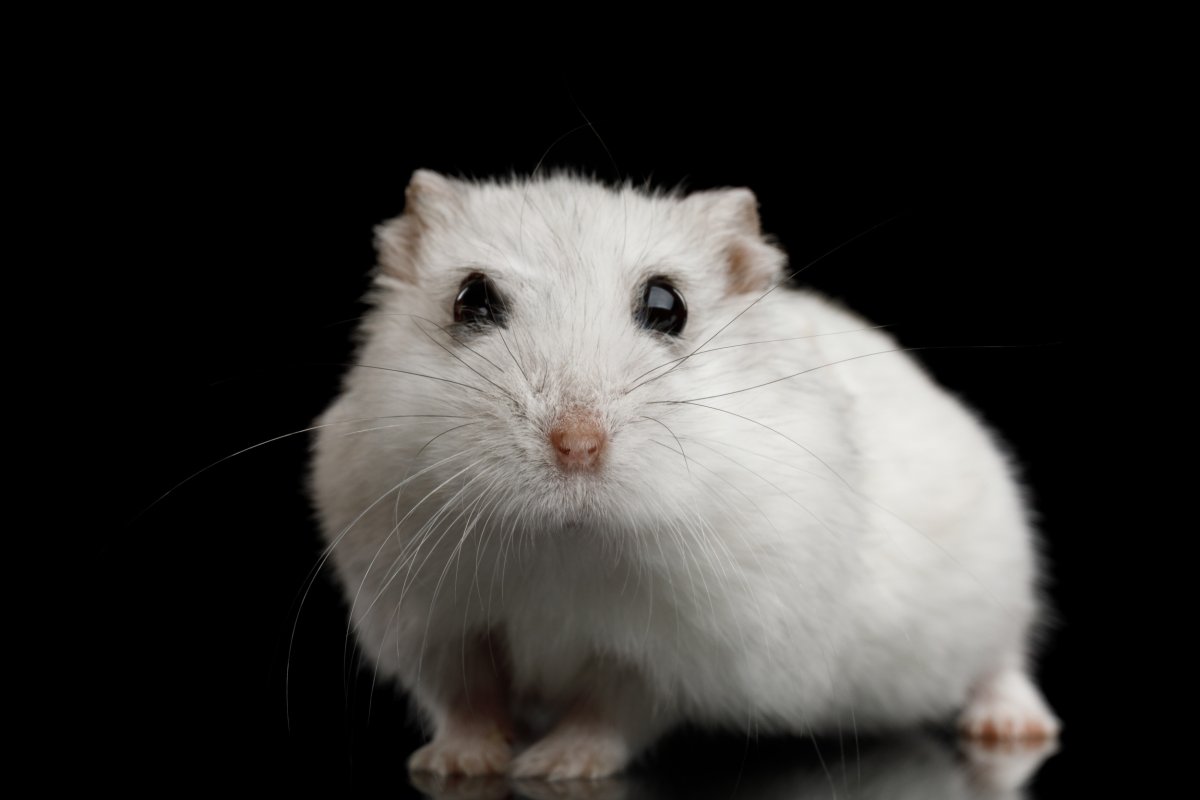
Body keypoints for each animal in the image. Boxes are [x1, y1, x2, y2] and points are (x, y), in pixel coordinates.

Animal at [309, 170, 1060, 780]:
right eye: (471, 298)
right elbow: (469, 699)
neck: (562, 545)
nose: (576, 446)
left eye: (667, 305)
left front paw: (556, 768)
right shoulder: (436, 625)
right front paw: (458, 764)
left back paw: (1011, 726)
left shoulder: (669, 650)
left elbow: (609, 709)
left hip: (1000, 590)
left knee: (1004, 663)